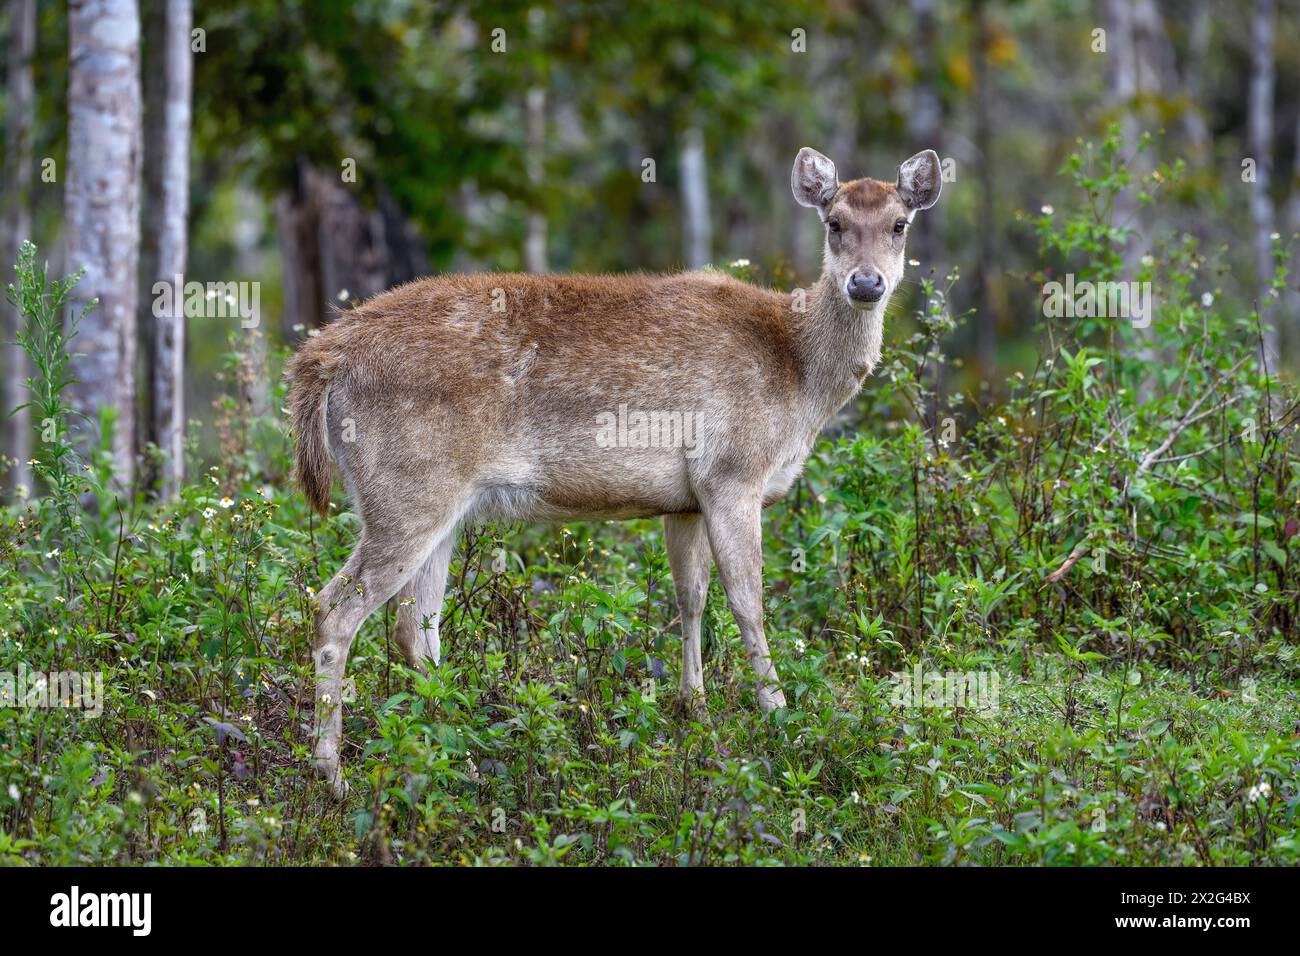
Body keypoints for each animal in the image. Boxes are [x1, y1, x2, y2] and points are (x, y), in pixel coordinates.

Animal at [287, 147, 935, 790]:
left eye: (900, 224)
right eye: (835, 222)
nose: (866, 282)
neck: (799, 376)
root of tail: (321, 359)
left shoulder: (686, 498)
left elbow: (690, 596)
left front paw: (695, 711)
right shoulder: (732, 472)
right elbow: (748, 601)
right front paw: (781, 724)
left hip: (436, 506)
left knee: (414, 630)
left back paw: (454, 756)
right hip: (406, 489)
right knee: (333, 611)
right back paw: (333, 774)